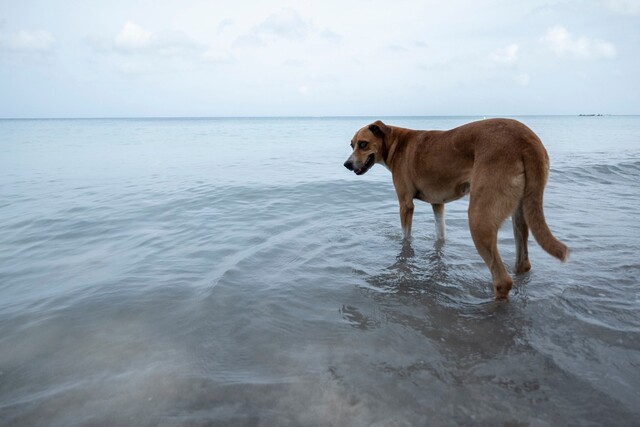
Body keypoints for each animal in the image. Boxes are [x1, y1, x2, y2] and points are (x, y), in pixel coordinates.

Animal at [344, 118, 568, 300]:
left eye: (363, 144)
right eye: (352, 144)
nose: (347, 164)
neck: (396, 143)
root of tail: (527, 139)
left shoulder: (405, 204)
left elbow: (406, 237)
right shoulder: (438, 204)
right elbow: (440, 235)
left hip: (479, 218)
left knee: (502, 280)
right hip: (521, 212)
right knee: (523, 263)